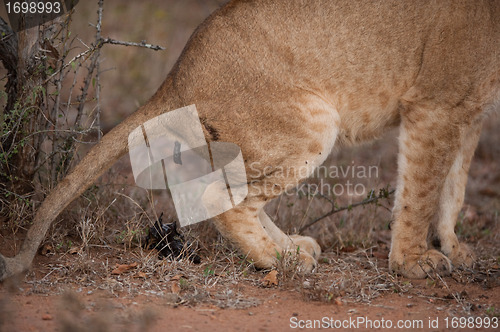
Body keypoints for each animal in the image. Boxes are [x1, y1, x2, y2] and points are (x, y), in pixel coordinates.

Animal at [0, 0, 500, 280]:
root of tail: (180, 72)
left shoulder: (469, 110)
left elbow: (453, 189)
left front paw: (453, 248)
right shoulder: (435, 102)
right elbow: (421, 190)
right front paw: (412, 263)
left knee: (238, 194)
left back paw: (290, 249)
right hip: (314, 121)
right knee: (221, 200)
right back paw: (279, 262)